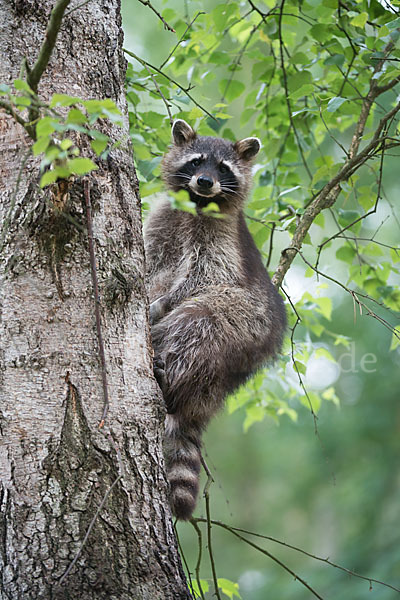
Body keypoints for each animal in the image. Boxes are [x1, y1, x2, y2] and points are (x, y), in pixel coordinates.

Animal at [145, 119, 286, 516]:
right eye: (196, 161)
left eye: (223, 168)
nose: (205, 181)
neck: (198, 202)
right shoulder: (164, 218)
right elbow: (151, 261)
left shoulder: (221, 238)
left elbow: (207, 277)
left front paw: (161, 303)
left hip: (244, 321)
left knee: (196, 321)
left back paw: (168, 371)